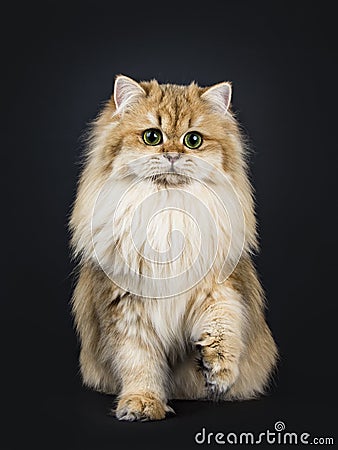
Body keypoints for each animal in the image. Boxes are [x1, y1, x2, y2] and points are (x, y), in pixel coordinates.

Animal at [68, 74, 278, 422]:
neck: (167, 211)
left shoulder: (219, 286)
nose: (173, 154)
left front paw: (216, 371)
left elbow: (224, 324)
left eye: (193, 140)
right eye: (152, 137)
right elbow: (139, 363)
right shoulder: (125, 307)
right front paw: (142, 404)